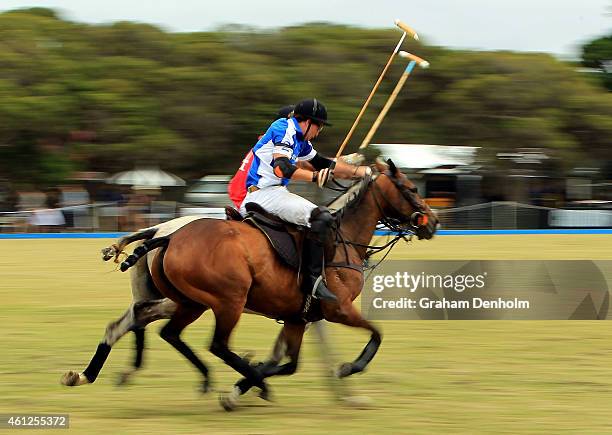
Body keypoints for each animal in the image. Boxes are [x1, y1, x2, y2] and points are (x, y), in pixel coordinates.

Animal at [120, 158, 436, 410]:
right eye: (411, 188)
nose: (432, 222)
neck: (345, 238)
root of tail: (167, 236)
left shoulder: (298, 317)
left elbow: (290, 363)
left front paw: (241, 386)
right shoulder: (338, 310)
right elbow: (377, 334)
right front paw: (348, 369)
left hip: (191, 302)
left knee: (161, 328)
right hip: (228, 301)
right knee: (215, 344)